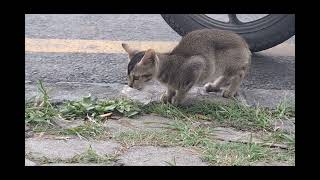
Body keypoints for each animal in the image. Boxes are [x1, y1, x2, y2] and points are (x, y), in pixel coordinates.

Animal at [122, 28, 250, 105]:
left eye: (136, 77)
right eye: (128, 77)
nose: (130, 85)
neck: (170, 64)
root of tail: (243, 42)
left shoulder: (197, 65)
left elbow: (183, 89)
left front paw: (177, 100)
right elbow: (170, 88)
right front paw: (168, 95)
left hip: (228, 65)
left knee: (240, 73)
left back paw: (230, 91)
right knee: (226, 76)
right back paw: (214, 86)